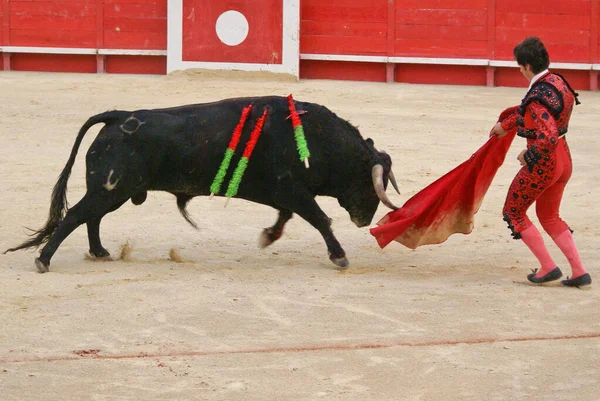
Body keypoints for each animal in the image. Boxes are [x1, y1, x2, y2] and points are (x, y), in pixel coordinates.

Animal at [5, 95, 398, 272]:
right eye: (370, 184)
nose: (365, 221)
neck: (318, 140)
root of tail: (118, 116)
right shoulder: (294, 190)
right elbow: (320, 219)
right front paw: (340, 256)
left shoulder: (284, 195)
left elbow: (286, 218)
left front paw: (267, 237)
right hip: (110, 187)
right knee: (77, 215)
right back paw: (43, 260)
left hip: (112, 190)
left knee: (91, 217)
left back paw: (99, 252)